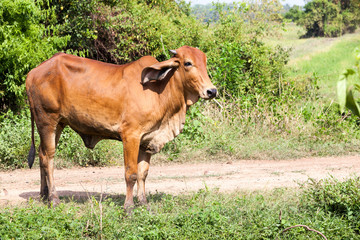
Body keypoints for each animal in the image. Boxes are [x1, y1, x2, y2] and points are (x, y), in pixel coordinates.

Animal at [26, 45, 217, 210]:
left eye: (205, 62)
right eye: (188, 63)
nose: (212, 91)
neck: (159, 91)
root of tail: (33, 73)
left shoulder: (147, 139)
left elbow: (143, 173)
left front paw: (144, 203)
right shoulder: (130, 135)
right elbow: (131, 173)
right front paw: (129, 207)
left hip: (58, 124)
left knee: (42, 154)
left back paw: (44, 196)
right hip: (47, 120)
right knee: (48, 158)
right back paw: (53, 199)